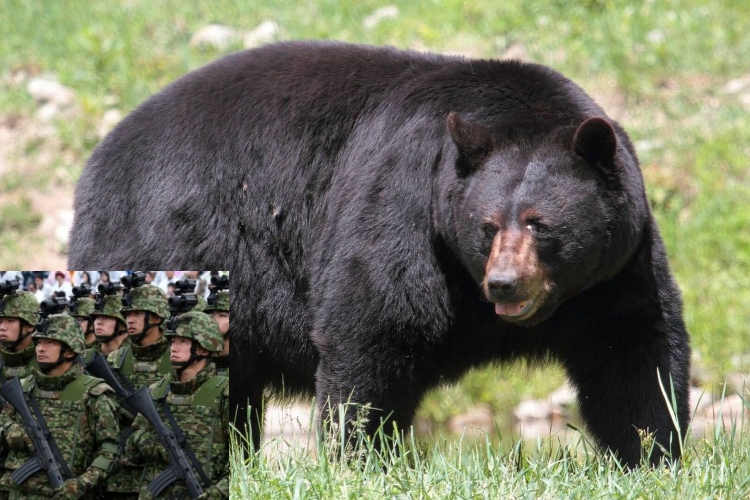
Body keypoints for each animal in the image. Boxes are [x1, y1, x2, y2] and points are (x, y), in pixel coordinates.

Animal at [68, 40, 691, 468]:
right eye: (487, 226)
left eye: (540, 224)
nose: (504, 284)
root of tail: (98, 158)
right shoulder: (405, 203)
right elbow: (374, 324)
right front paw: (358, 456)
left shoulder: (617, 265)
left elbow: (634, 348)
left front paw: (650, 453)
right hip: (169, 237)